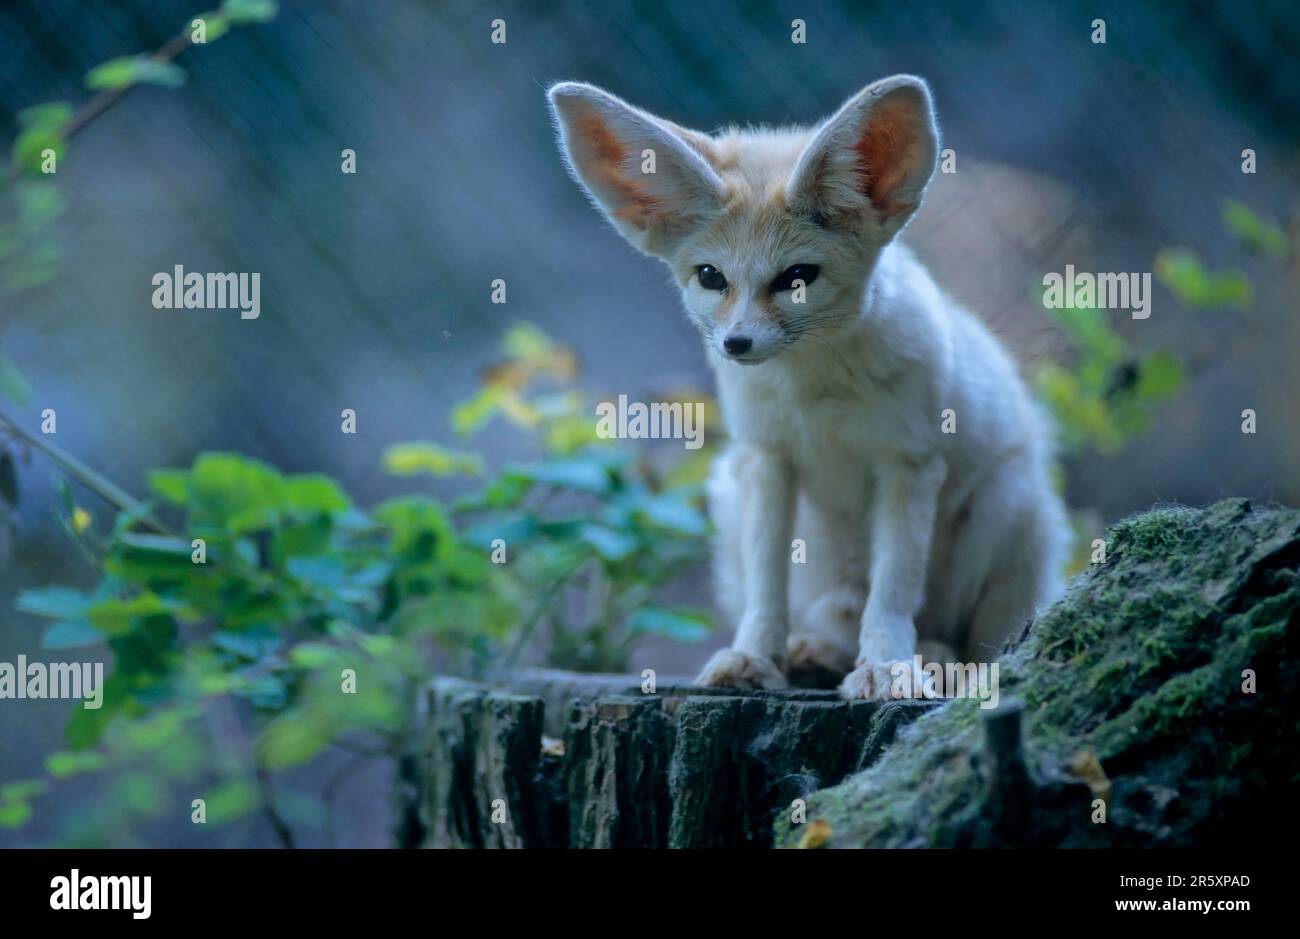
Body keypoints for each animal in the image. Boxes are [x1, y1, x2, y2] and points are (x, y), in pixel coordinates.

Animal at [548, 75, 1066, 697]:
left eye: (797, 279)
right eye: (710, 277)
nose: (736, 344)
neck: (813, 391)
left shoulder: (909, 463)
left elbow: (894, 588)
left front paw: (888, 667)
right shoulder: (767, 459)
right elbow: (766, 585)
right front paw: (753, 656)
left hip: (1006, 501)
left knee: (974, 642)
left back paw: (936, 659)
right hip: (732, 495)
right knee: (829, 621)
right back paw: (813, 651)